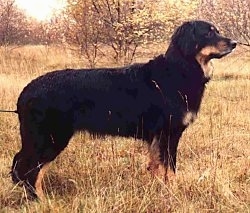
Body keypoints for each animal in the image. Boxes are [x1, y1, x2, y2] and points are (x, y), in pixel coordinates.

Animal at [9, 20, 236, 198]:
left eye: (216, 30)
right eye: (208, 32)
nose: (234, 43)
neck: (179, 70)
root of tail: (26, 91)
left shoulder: (157, 137)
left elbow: (156, 167)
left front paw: (157, 191)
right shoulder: (169, 134)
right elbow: (169, 168)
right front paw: (172, 192)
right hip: (50, 138)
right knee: (28, 169)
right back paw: (40, 200)